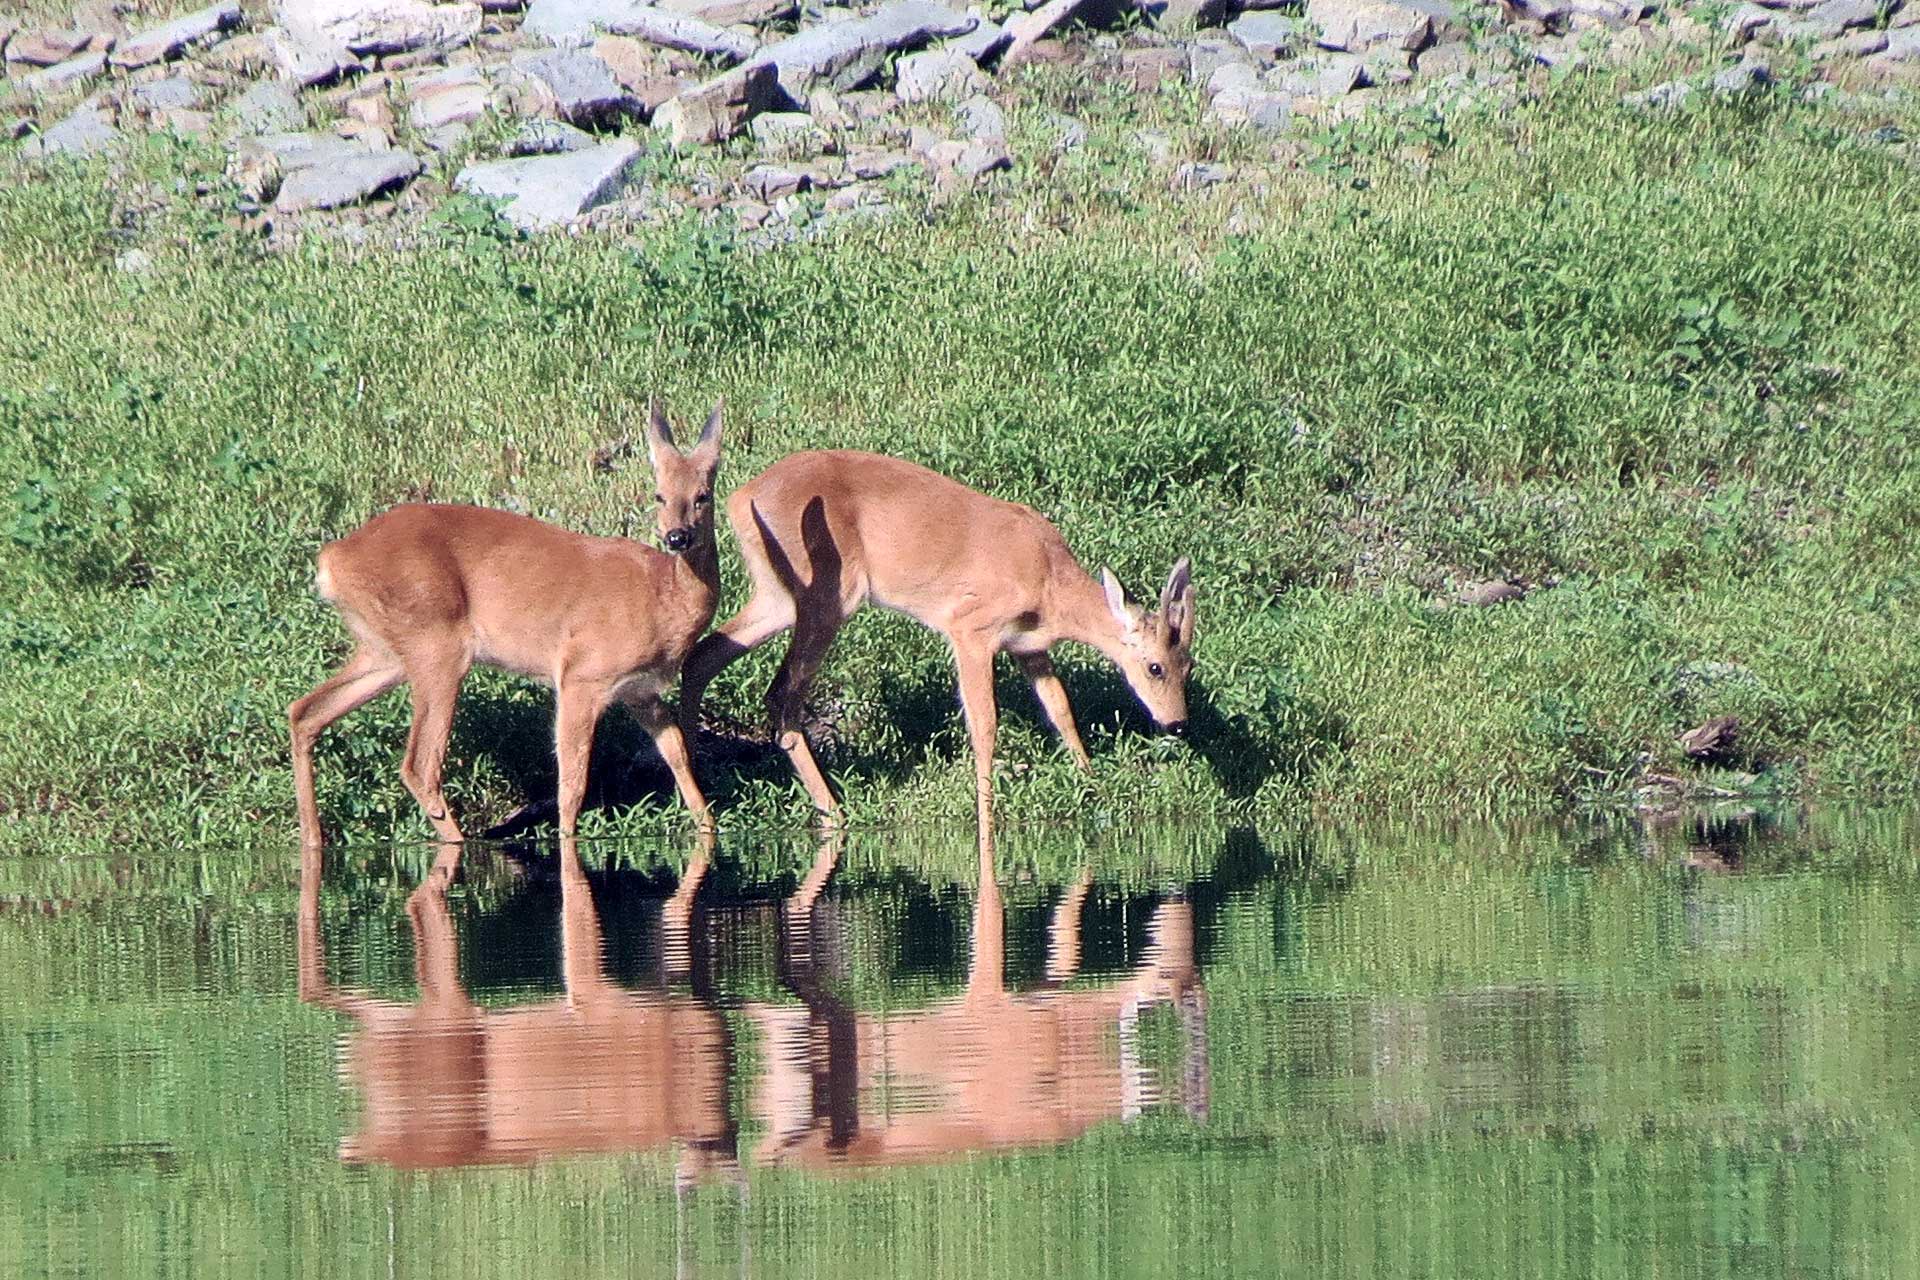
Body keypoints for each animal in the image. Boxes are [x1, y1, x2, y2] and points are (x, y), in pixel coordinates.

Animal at [289, 404, 725, 855]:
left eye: (702, 495)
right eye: (659, 495)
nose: (677, 537)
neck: (663, 598)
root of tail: (331, 559)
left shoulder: (639, 691)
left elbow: (677, 752)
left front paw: (709, 826)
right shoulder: (581, 674)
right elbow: (572, 781)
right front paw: (567, 839)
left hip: (385, 651)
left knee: (304, 711)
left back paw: (312, 839)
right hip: (436, 642)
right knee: (419, 765)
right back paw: (460, 842)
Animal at [675, 450, 1182, 832]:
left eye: (1188, 665)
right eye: (1154, 666)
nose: (1176, 723)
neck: (1049, 582)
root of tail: (741, 498)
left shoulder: (1029, 647)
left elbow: (1060, 708)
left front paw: (1092, 781)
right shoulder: (970, 627)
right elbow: (984, 720)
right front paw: (986, 807)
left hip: (776, 595)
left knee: (704, 654)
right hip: (829, 594)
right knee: (781, 691)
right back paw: (831, 809)